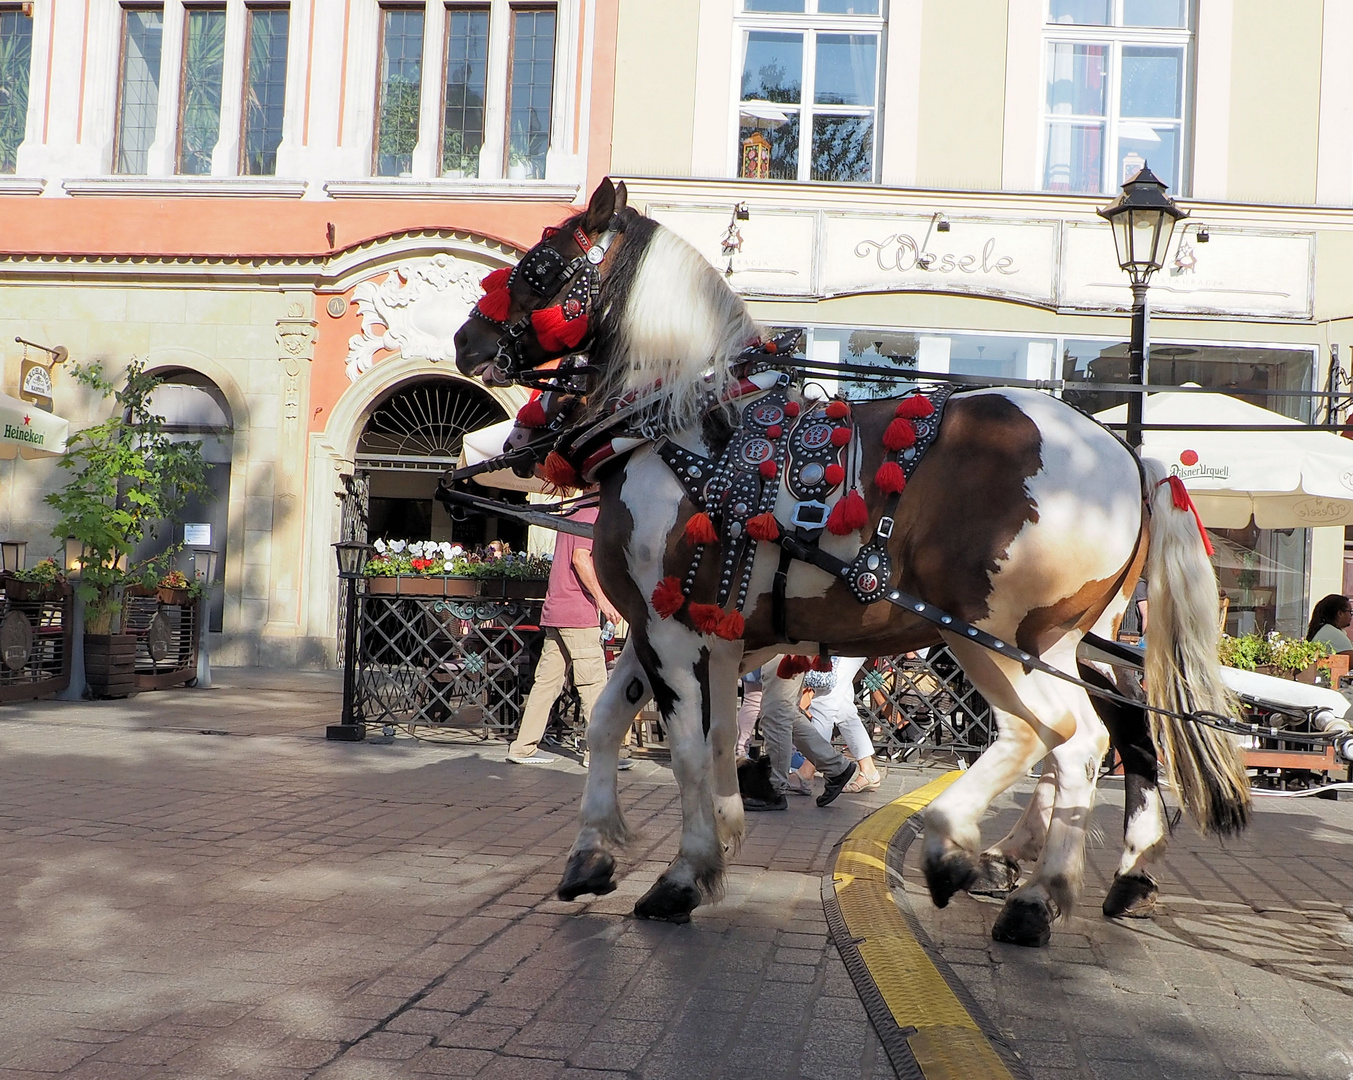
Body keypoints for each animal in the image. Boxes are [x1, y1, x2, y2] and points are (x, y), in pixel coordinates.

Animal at [454, 180, 1244, 947]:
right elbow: (626, 727)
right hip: (1063, 641)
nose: (467, 340)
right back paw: (1064, 879)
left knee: (1054, 736)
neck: (679, 431)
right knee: (1107, 737)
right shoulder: (684, 632)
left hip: (987, 635)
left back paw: (973, 857)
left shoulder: (675, 634)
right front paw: (600, 854)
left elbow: (687, 750)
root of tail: (1125, 454)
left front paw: (684, 874)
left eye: (540, 267)